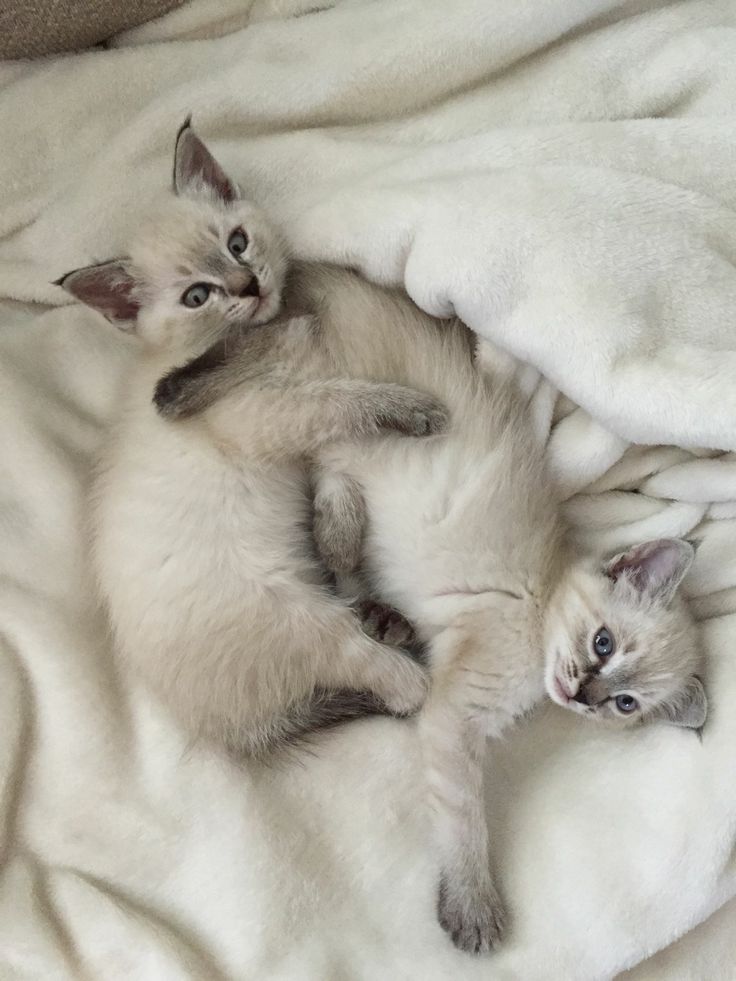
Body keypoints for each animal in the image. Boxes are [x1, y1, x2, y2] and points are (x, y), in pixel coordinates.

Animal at [155, 128, 708, 948]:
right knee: (246, 350)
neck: (542, 606)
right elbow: (465, 817)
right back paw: (177, 390)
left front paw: (386, 620)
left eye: (625, 705)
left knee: (325, 463)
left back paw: (342, 547)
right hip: (305, 370)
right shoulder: (454, 718)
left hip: (329, 431)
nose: (583, 690)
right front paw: (474, 907)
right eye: (604, 644)